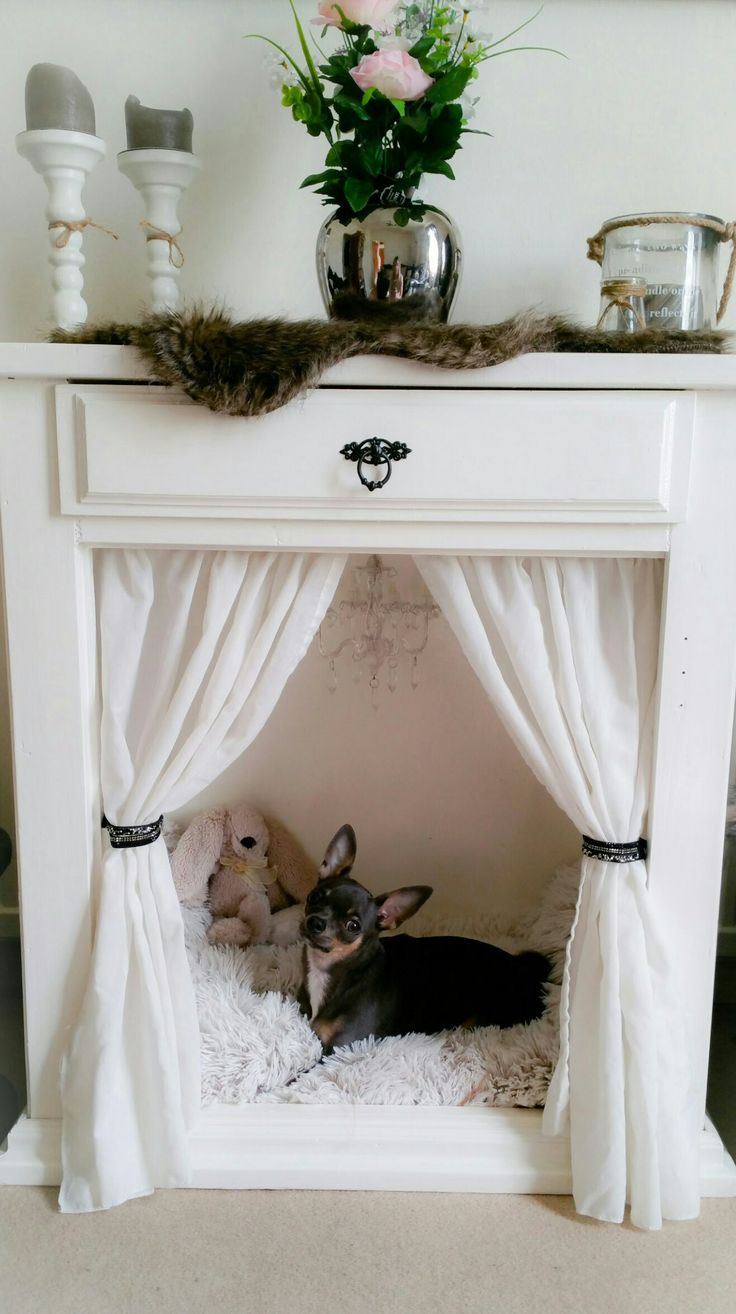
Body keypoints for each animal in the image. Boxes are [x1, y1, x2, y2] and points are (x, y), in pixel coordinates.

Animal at [295, 825, 549, 1051]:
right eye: (314, 897)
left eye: (353, 926)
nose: (316, 922)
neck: (329, 970)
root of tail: (528, 973)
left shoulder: (339, 1048)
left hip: (481, 1020)